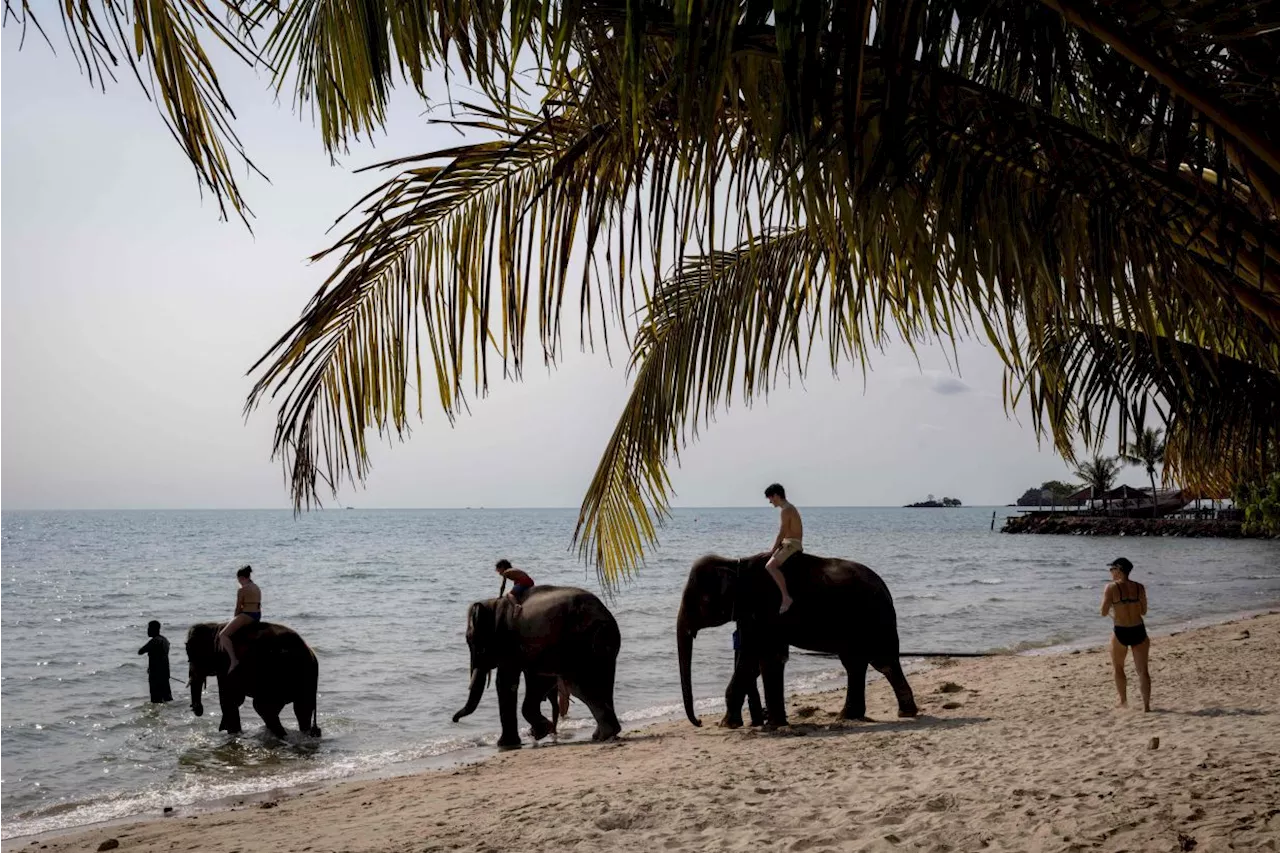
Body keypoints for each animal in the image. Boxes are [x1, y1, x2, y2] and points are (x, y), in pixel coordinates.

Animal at [186, 617, 322, 737]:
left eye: (191, 656)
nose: (197, 709)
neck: (214, 626)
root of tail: (311, 654)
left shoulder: (228, 665)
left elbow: (230, 700)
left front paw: (234, 734)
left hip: (278, 676)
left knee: (263, 707)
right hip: (305, 679)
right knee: (301, 709)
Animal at [453, 584, 622, 742]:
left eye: (470, 640)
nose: (455, 720)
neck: (494, 603)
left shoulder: (508, 642)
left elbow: (505, 683)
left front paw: (507, 743)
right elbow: (539, 681)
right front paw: (540, 732)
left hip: (581, 644)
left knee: (580, 687)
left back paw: (605, 734)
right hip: (601, 646)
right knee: (603, 682)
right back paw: (602, 734)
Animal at [675, 555, 916, 727]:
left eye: (697, 601)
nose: (700, 722)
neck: (735, 563)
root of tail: (886, 589)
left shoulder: (765, 611)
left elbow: (753, 658)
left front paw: (727, 724)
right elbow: (768, 658)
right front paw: (775, 723)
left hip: (874, 621)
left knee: (882, 662)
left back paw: (903, 713)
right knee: (855, 664)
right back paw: (850, 716)